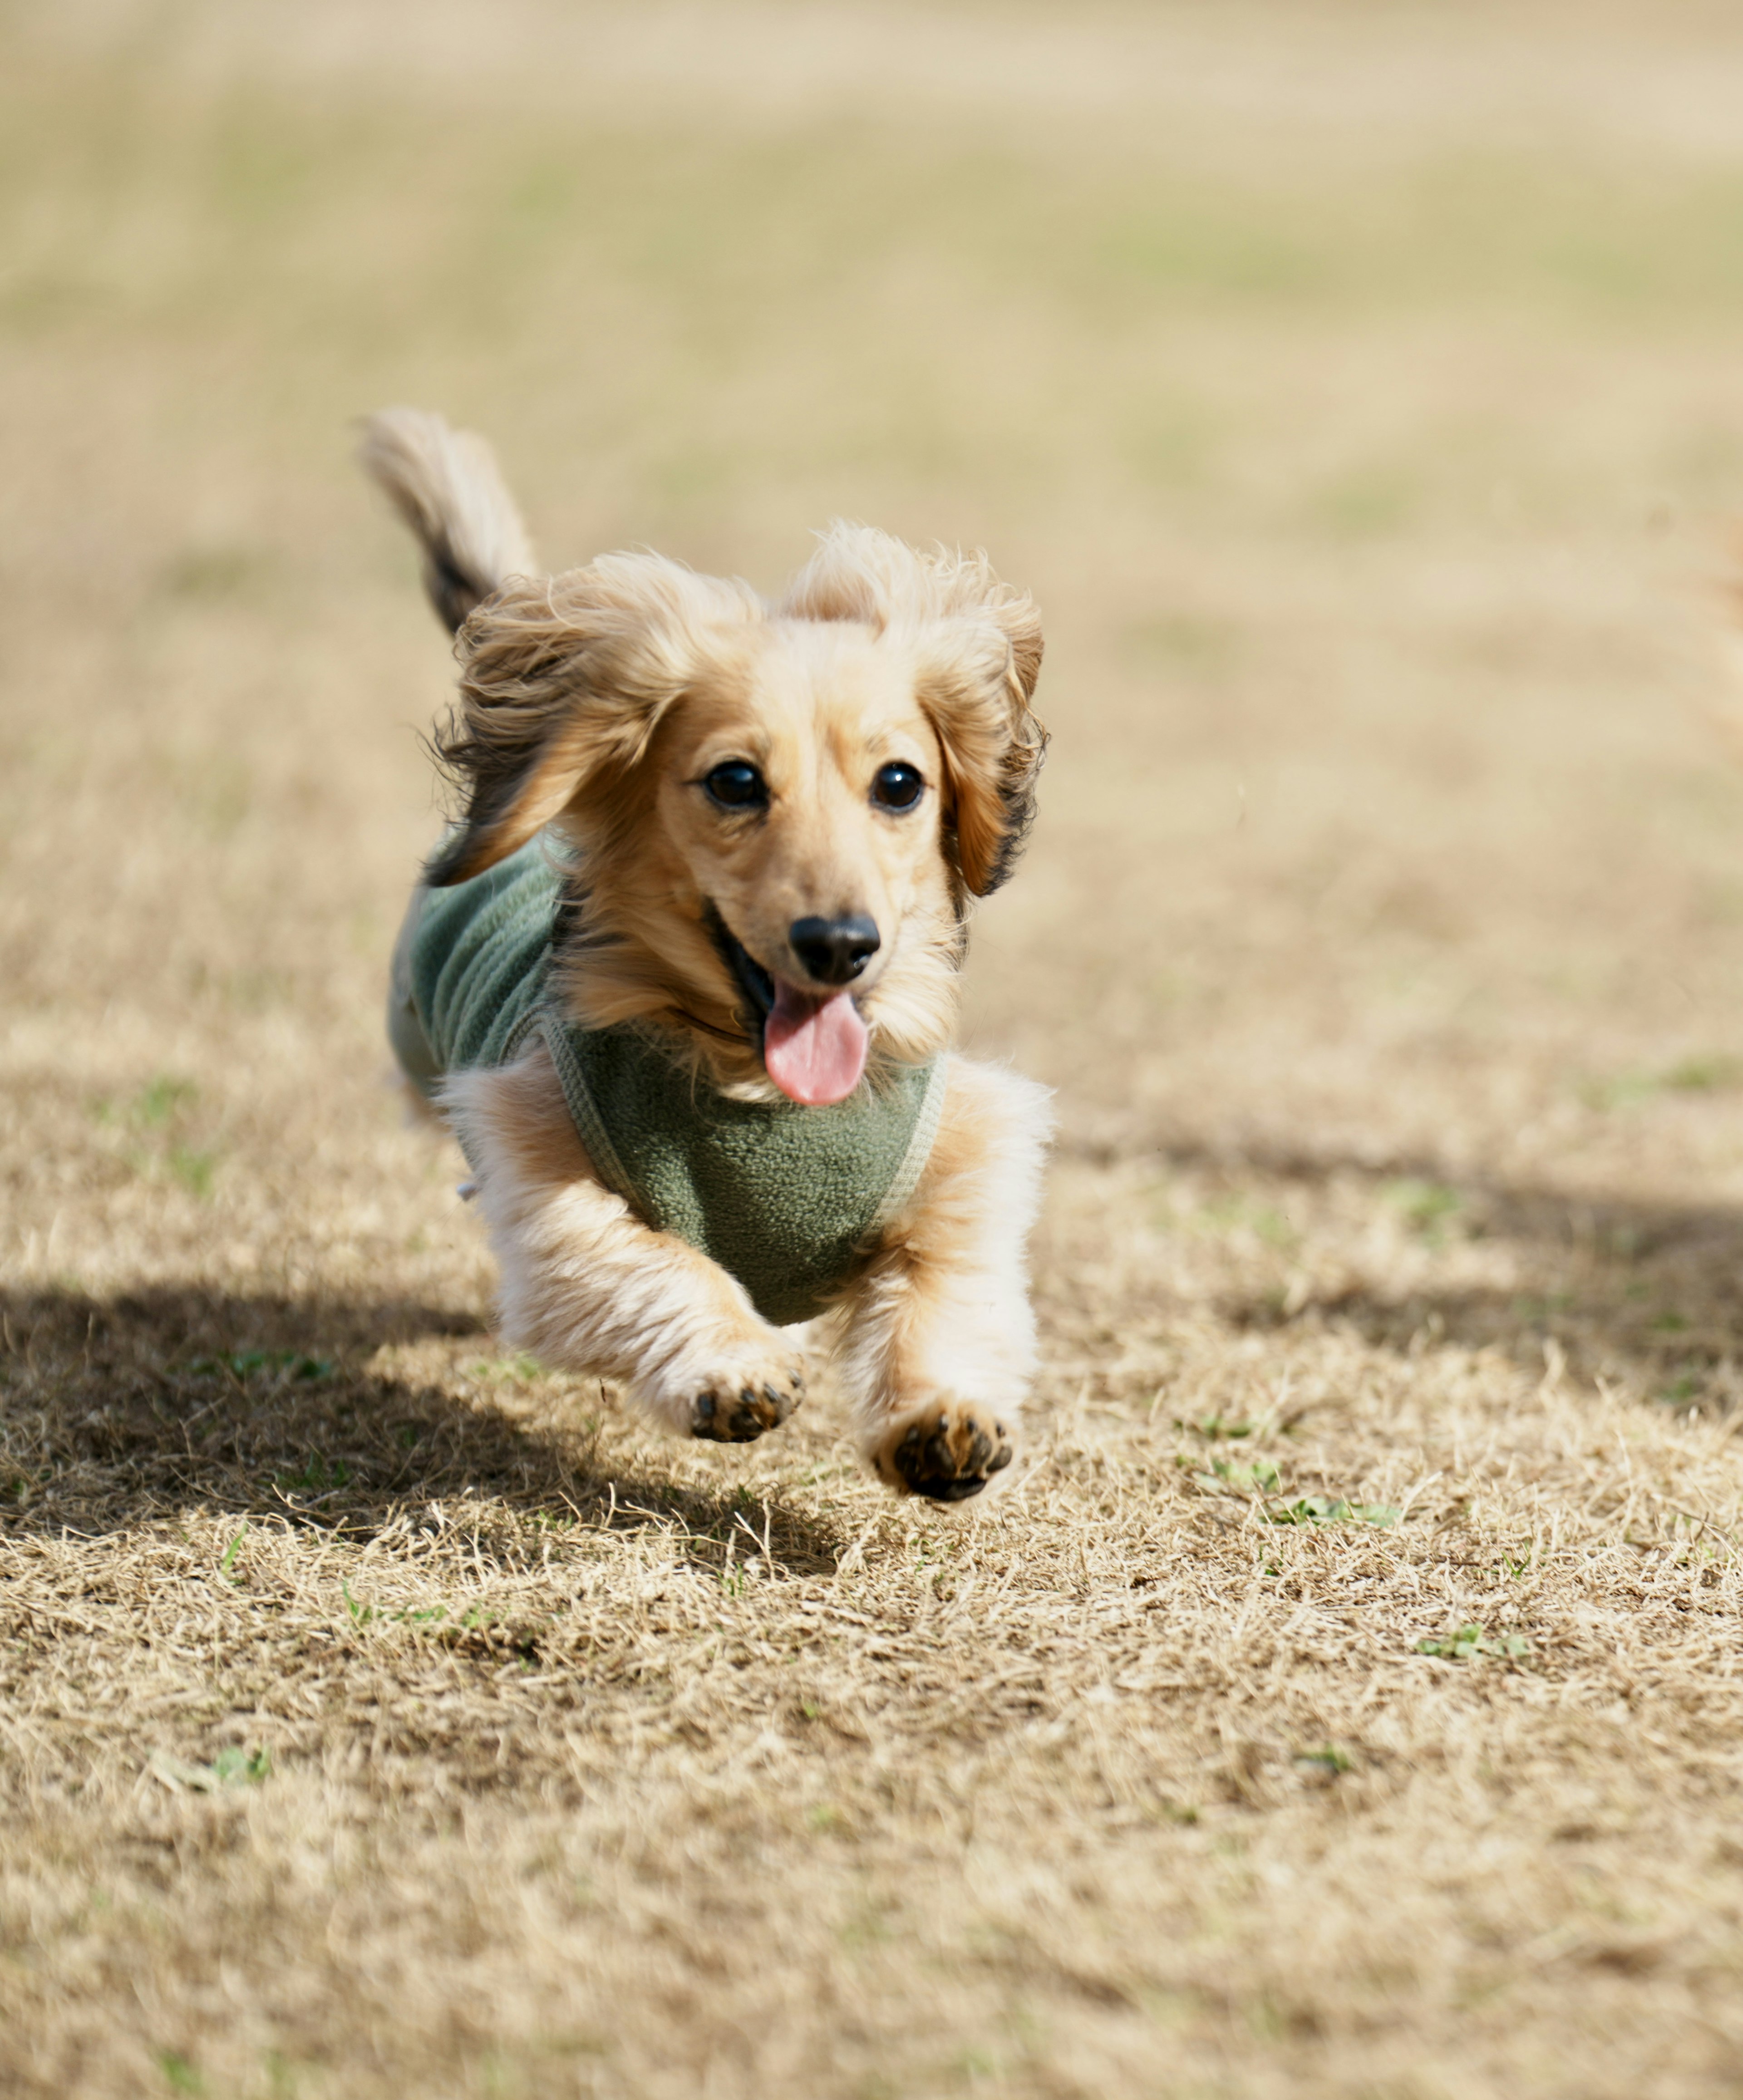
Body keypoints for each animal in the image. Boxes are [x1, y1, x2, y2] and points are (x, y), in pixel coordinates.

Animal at [365, 405, 1050, 1495]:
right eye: (735, 781)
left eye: (900, 783)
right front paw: (733, 1364)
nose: (841, 945)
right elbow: (649, 1263)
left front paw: (942, 1418)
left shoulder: (965, 1159)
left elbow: (946, 1287)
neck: (759, 1090)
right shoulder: (544, 1177)